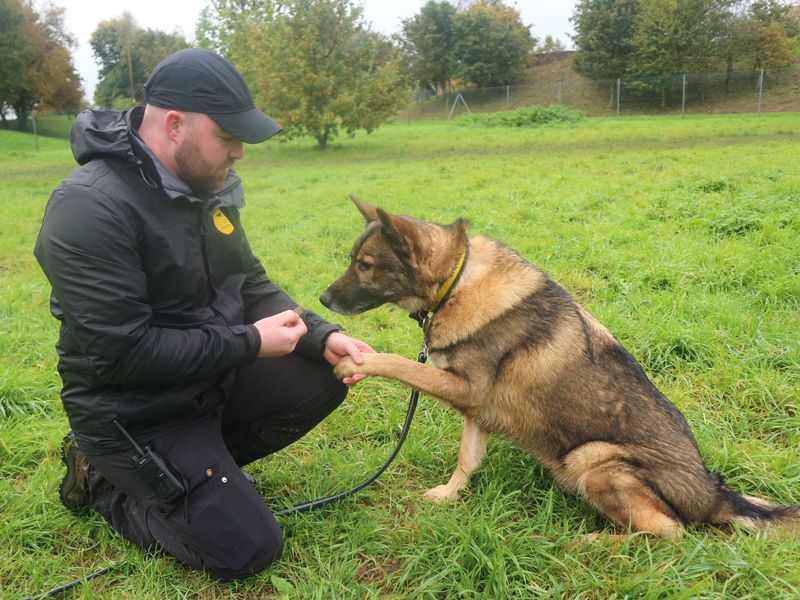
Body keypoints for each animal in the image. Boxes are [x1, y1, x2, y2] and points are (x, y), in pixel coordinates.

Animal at [320, 197, 800, 540]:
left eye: (365, 266)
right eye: (353, 260)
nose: (322, 300)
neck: (456, 282)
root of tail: (709, 495)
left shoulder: (465, 390)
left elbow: (401, 364)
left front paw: (354, 360)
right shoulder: (477, 410)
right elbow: (466, 461)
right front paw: (449, 495)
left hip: (594, 459)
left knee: (669, 532)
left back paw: (592, 542)